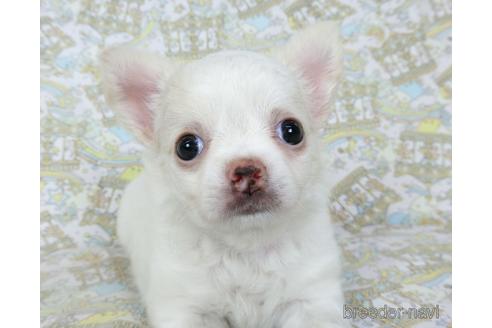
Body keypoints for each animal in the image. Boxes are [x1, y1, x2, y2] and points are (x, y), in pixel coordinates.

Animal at [100, 21, 346, 326]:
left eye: (292, 131)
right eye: (186, 147)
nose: (247, 170)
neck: (246, 249)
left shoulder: (312, 299)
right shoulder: (185, 306)